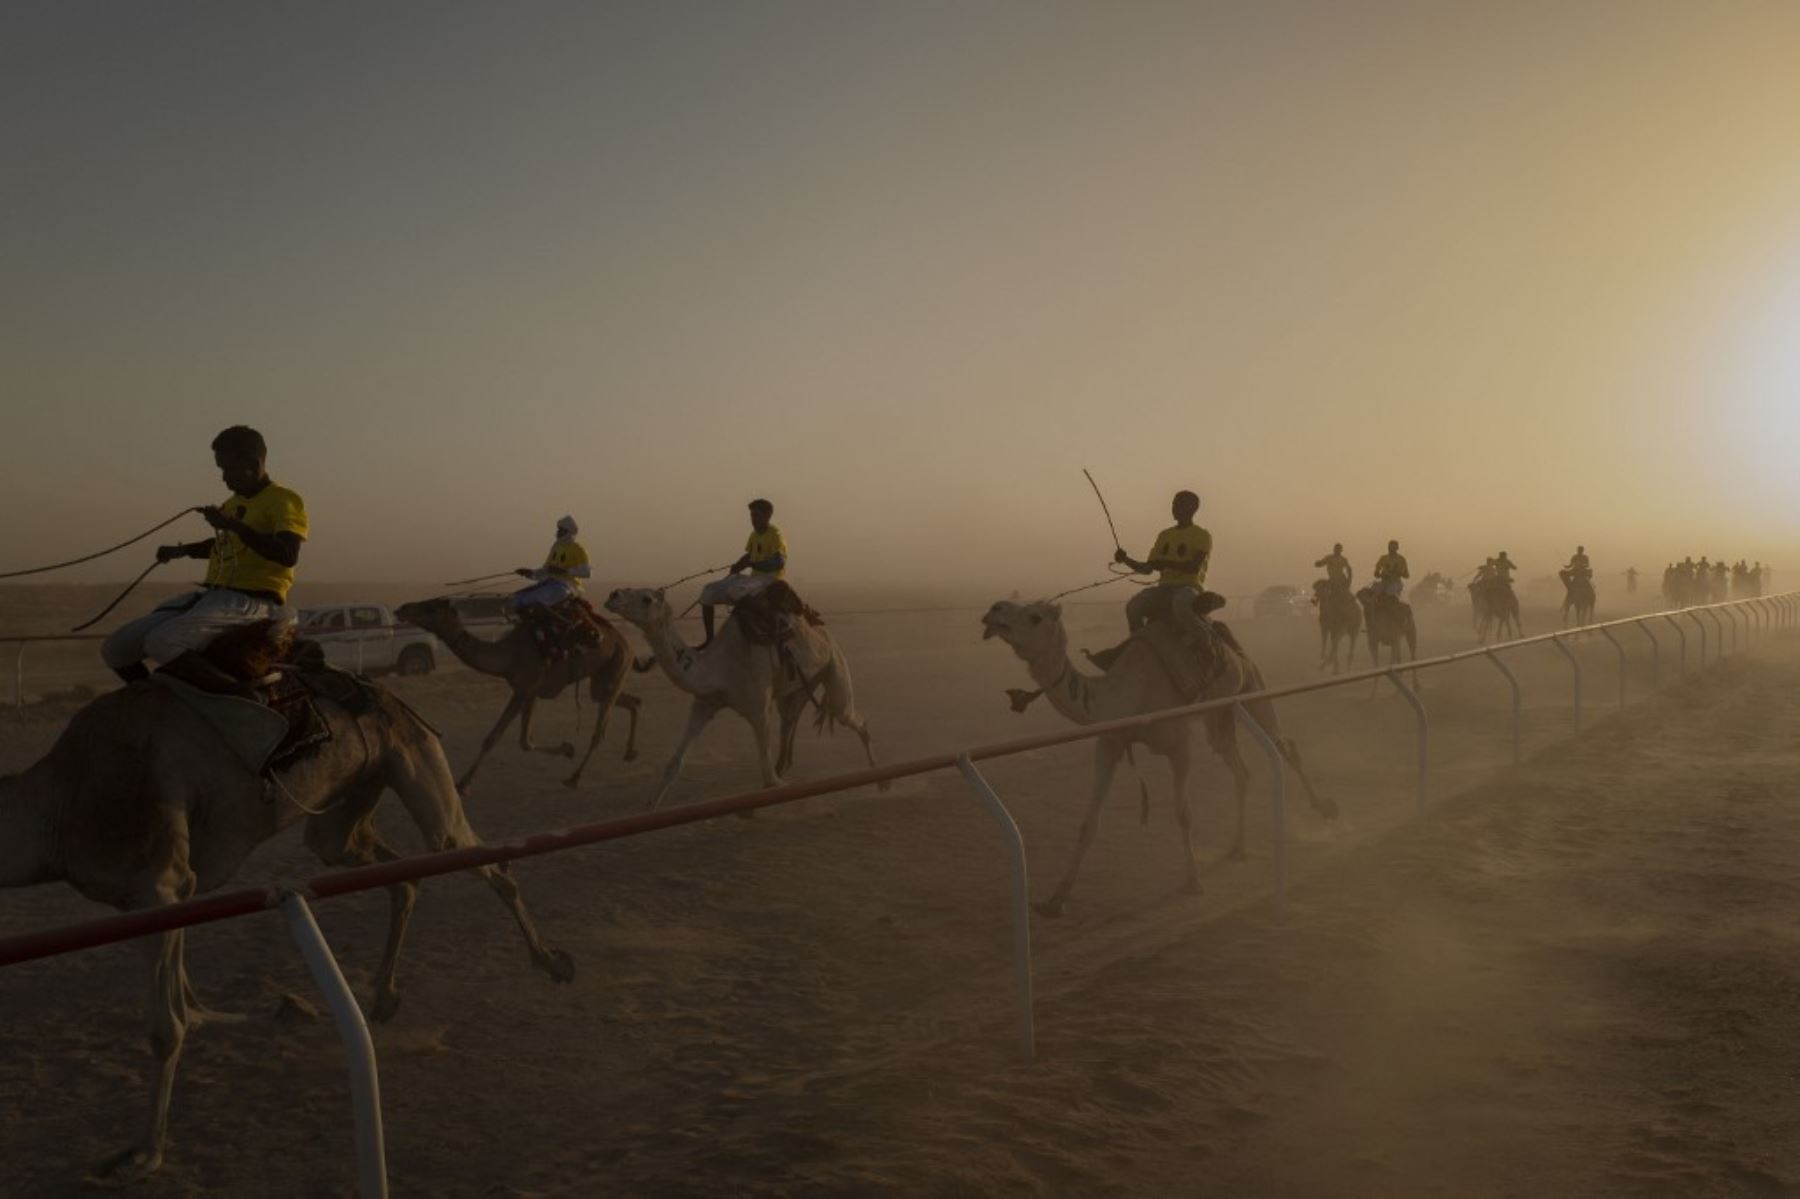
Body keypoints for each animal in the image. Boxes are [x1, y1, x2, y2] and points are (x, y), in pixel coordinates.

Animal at [0, 666, 572, 1180]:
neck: (59, 801)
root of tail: (389, 695)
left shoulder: (156, 882)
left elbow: (166, 1028)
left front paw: (143, 1153)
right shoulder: (165, 893)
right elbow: (187, 1000)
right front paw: (269, 1009)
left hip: (416, 761)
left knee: (478, 859)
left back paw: (552, 962)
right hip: (349, 803)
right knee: (395, 874)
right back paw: (384, 997)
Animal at [394, 594, 648, 788]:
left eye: (431, 607)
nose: (402, 608)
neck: (509, 654)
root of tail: (627, 644)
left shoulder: (526, 688)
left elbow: (515, 740)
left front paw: (567, 748)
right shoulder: (526, 691)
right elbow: (502, 739)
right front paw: (463, 783)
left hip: (617, 663)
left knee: (599, 732)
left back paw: (574, 778)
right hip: (603, 678)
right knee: (631, 701)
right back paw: (630, 752)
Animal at [604, 583, 878, 806]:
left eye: (646, 599)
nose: (613, 595)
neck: (720, 668)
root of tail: (822, 630)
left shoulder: (759, 708)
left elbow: (769, 780)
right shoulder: (704, 704)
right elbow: (674, 765)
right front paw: (649, 808)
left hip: (835, 665)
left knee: (852, 718)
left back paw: (877, 775)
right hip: (799, 686)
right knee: (790, 720)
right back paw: (787, 764)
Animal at [979, 597, 1332, 914]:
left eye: (1035, 616)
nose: (994, 610)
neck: (1128, 692)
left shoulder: (1179, 745)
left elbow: (1183, 813)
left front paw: (1193, 882)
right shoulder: (1109, 743)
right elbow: (1088, 823)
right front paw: (1055, 898)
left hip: (1252, 686)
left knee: (1284, 745)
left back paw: (1326, 807)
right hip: (1219, 714)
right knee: (1240, 769)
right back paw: (1237, 848)